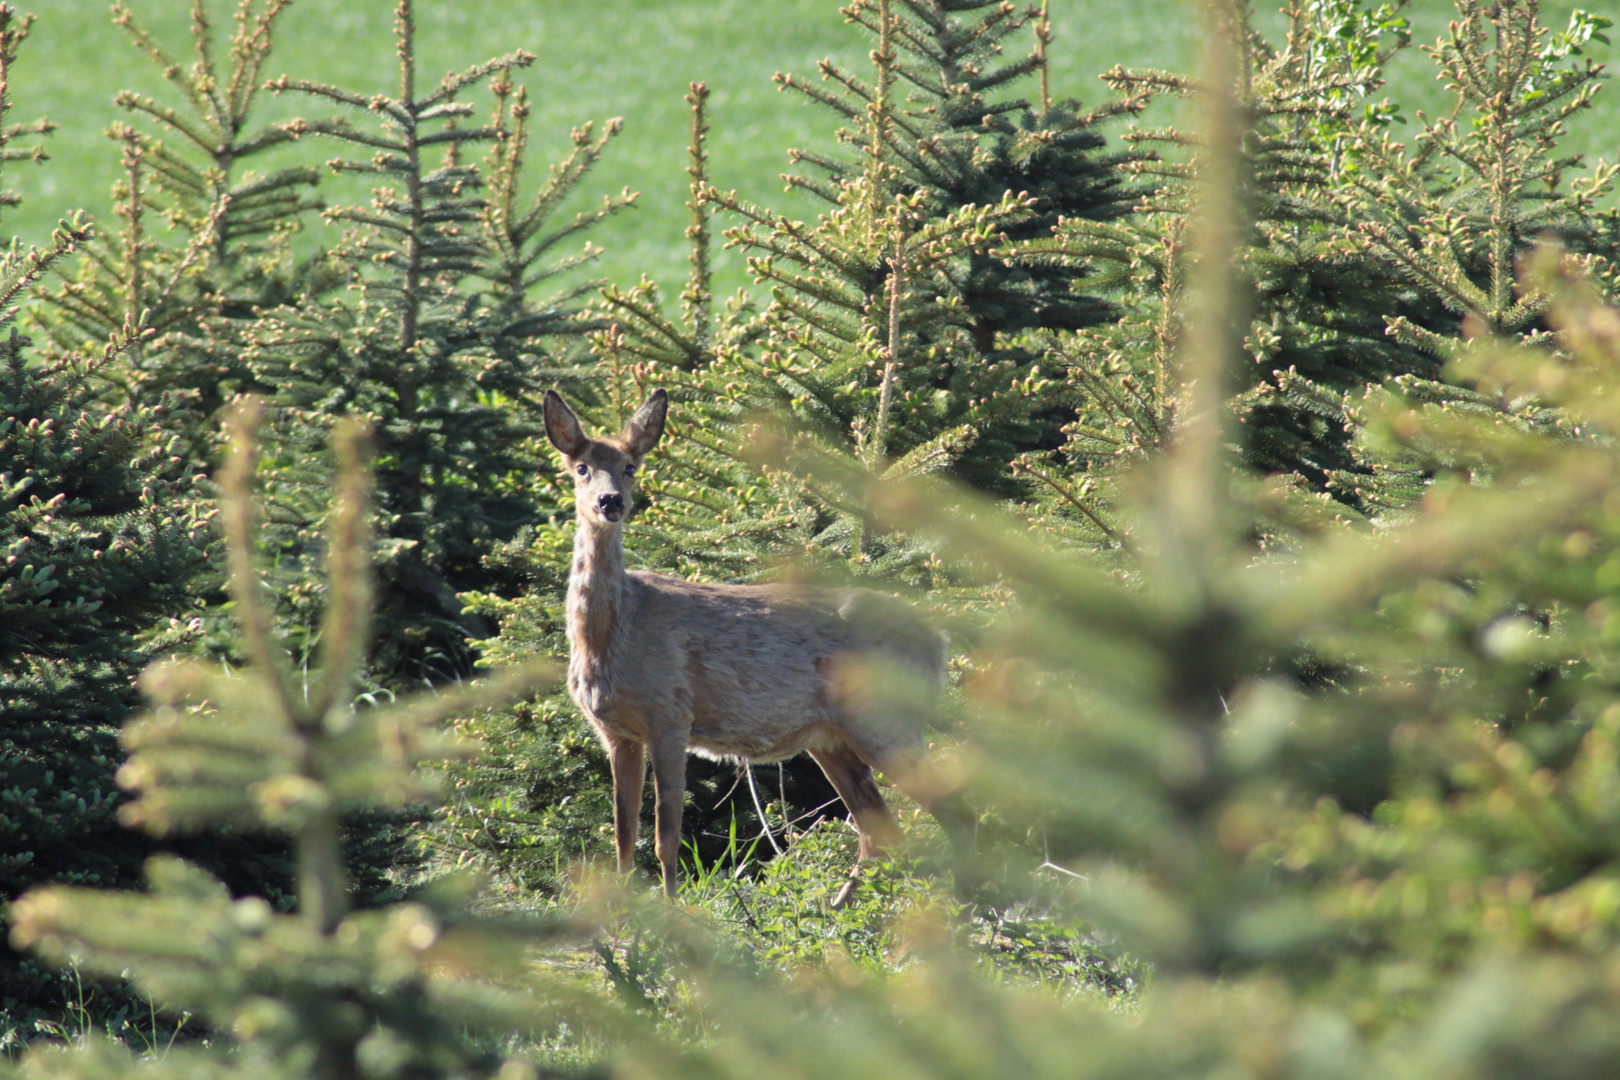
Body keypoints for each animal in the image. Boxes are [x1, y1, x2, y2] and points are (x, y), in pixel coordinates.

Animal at [544, 388, 972, 906]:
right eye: (581, 467)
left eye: (630, 466)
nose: (611, 501)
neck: (612, 636)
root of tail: (939, 640)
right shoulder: (616, 731)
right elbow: (624, 836)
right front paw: (623, 915)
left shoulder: (671, 714)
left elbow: (667, 837)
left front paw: (669, 914)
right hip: (832, 739)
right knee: (880, 830)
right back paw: (839, 913)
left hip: (887, 718)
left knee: (958, 813)